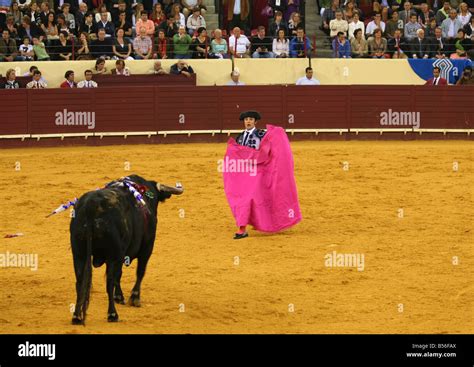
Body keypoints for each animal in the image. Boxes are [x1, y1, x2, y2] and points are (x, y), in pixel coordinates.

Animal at [70, 175, 183, 324]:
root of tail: (91, 206)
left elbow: (119, 275)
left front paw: (119, 296)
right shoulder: (147, 248)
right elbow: (140, 272)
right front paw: (134, 298)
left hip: (79, 254)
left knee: (80, 282)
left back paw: (76, 316)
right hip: (113, 254)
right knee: (109, 282)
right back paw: (112, 314)